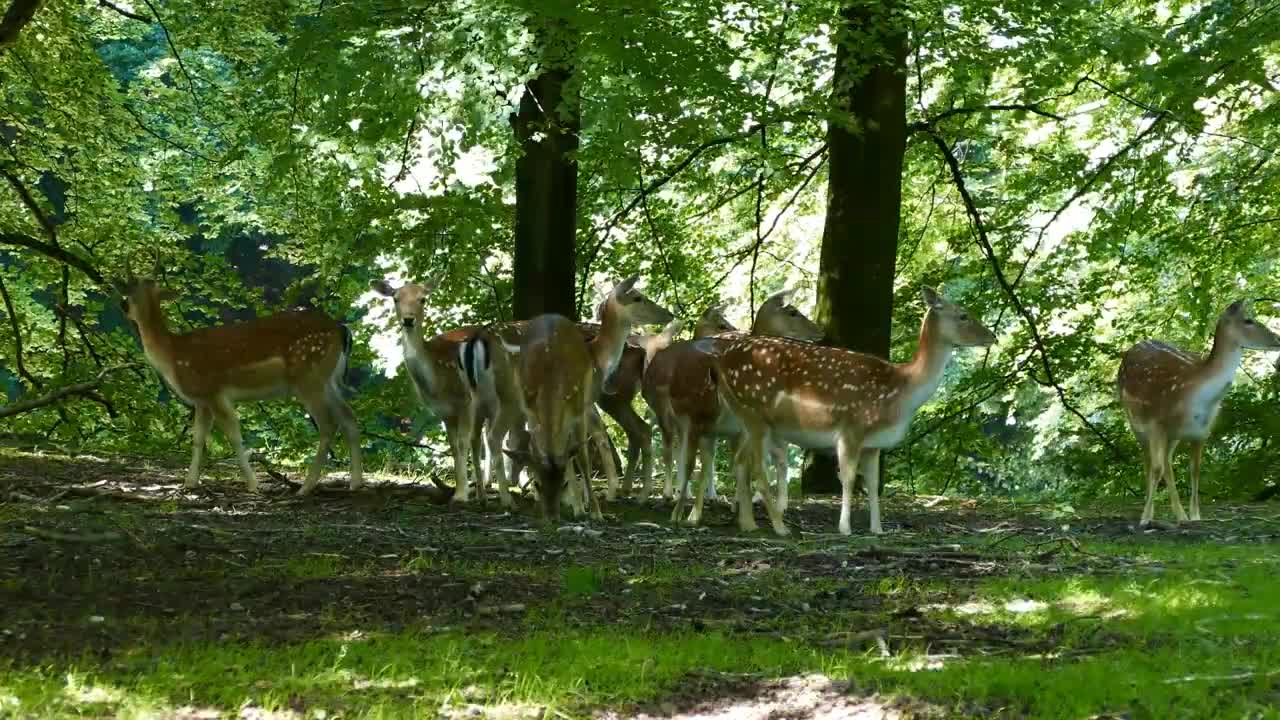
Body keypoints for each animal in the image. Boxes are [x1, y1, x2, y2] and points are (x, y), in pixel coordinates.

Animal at [118, 263, 363, 491]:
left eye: (128, 291)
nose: (123, 307)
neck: (173, 355)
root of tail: (342, 328)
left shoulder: (213, 391)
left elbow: (234, 436)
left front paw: (253, 485)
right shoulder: (201, 400)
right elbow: (198, 440)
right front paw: (190, 483)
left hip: (308, 376)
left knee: (328, 424)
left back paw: (306, 487)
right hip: (328, 380)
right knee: (349, 416)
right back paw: (355, 483)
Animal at [496, 275, 680, 520]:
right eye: (637, 297)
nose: (668, 314)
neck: (597, 355)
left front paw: (574, 501)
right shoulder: (584, 405)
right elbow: (579, 451)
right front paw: (584, 507)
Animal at [716, 285, 993, 532]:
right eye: (963, 315)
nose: (992, 336)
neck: (901, 391)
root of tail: (722, 361)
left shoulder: (874, 444)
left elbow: (872, 483)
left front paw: (877, 529)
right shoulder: (851, 428)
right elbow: (848, 479)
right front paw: (845, 528)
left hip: (747, 420)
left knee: (741, 463)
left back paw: (748, 524)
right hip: (754, 414)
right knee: (757, 468)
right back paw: (779, 527)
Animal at [1111, 299, 1280, 525]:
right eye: (1248, 320)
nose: (1277, 339)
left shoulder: (1201, 431)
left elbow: (1195, 470)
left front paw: (1195, 516)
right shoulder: (1157, 424)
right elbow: (1156, 468)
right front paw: (1145, 518)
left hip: (1172, 435)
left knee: (1167, 463)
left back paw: (1180, 515)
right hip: (1135, 421)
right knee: (1149, 462)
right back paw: (1151, 512)